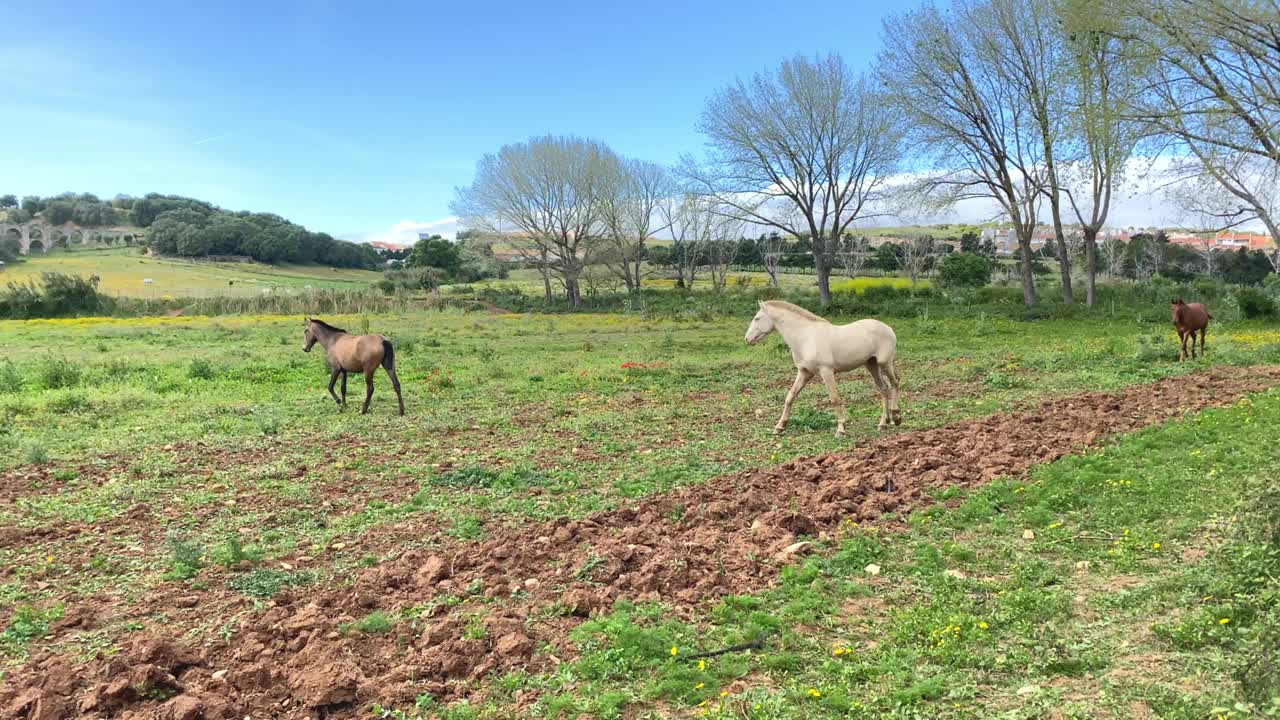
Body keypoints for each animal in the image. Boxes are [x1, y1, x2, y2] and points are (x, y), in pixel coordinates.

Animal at [742, 299, 901, 435]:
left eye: (757, 318)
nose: (747, 339)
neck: (806, 337)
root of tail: (888, 328)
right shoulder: (805, 372)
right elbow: (790, 396)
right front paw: (779, 427)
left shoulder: (826, 371)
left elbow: (834, 398)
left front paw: (841, 429)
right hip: (871, 365)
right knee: (883, 388)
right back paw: (883, 423)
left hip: (884, 363)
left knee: (895, 382)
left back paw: (896, 416)